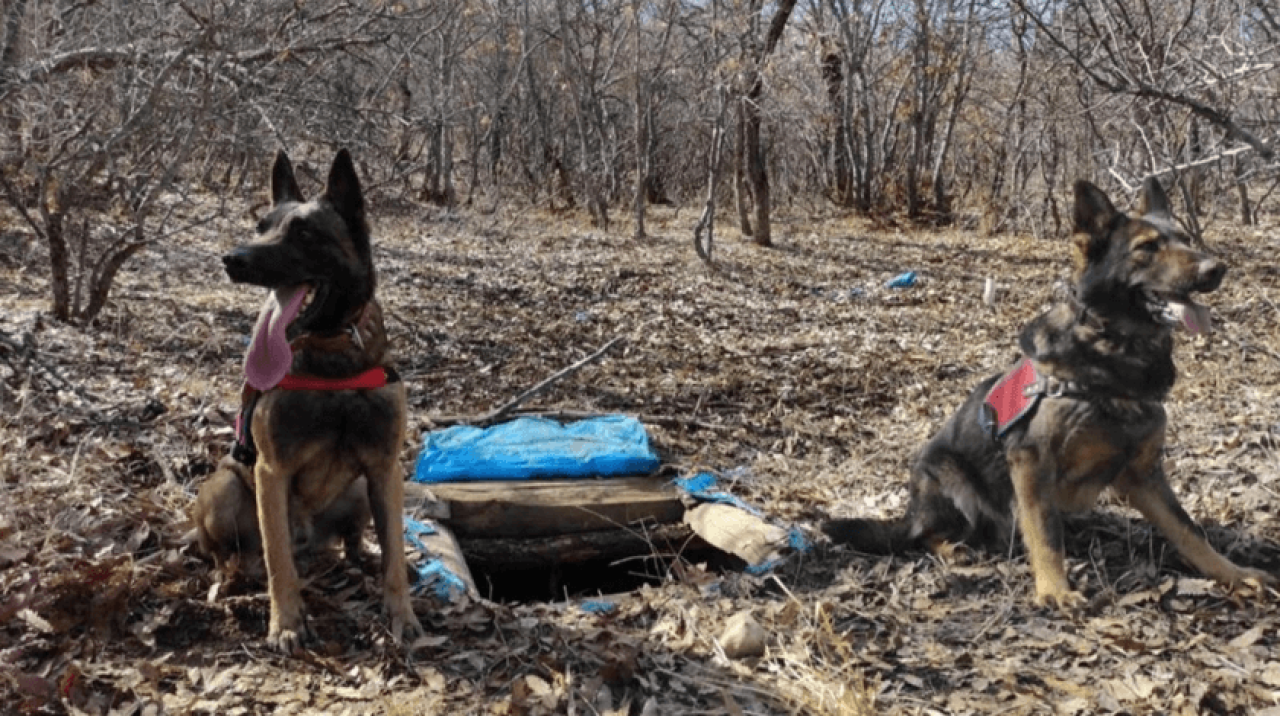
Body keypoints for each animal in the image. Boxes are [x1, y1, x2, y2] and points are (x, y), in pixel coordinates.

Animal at [192, 148, 419, 653]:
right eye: (261, 226)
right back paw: (237, 573)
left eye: (306, 234)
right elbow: (278, 560)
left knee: (354, 541)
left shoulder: (385, 468)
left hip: (359, 490)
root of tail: (312, 542)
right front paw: (288, 623)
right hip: (224, 487)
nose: (232, 259)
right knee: (234, 552)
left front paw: (400, 613)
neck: (332, 357)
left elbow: (395, 549)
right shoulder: (271, 472)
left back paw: (360, 558)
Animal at [824, 176, 1274, 607]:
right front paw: (1054, 589)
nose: (1217, 269)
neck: (1113, 352)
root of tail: (911, 510)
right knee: (924, 535)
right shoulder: (1030, 461)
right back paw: (954, 549)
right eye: (1147, 247)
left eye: (1184, 238)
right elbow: (1044, 530)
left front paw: (1233, 574)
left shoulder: (1144, 475)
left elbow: (1189, 529)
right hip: (948, 475)